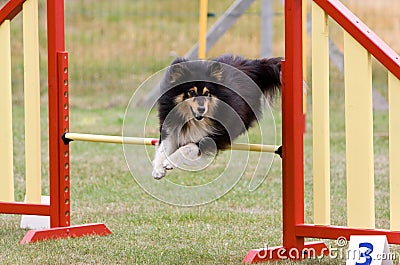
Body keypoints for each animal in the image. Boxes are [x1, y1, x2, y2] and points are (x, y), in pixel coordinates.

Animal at [152, 54, 282, 178]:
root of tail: (251, 65)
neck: (193, 121)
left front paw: (169, 162)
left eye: (207, 93)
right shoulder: (171, 127)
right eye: (191, 92)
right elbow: (163, 148)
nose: (202, 109)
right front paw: (158, 169)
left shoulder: (215, 135)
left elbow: (189, 146)